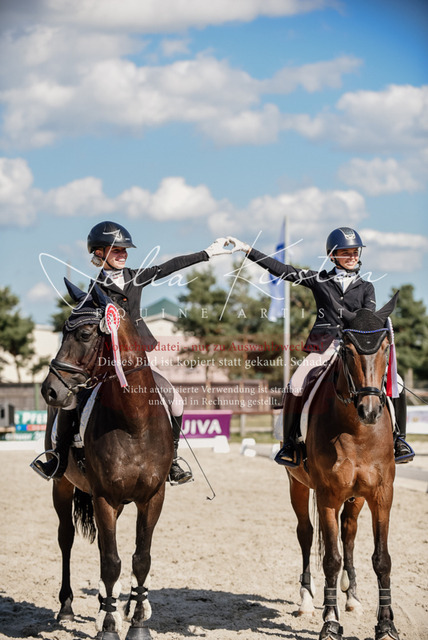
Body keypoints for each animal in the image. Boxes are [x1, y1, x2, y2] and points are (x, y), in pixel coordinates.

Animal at [34, 279, 174, 640]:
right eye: (61, 332)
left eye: (84, 335)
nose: (49, 391)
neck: (133, 422)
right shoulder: (103, 498)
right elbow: (110, 562)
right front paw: (109, 627)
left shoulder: (153, 497)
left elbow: (141, 558)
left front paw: (138, 623)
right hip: (62, 485)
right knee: (66, 538)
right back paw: (68, 607)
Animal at [284, 293, 401, 640]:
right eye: (347, 350)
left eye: (385, 347)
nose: (370, 410)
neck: (357, 431)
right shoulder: (326, 495)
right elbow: (330, 560)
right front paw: (330, 622)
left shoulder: (381, 494)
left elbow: (381, 559)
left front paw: (385, 624)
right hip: (298, 485)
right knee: (306, 534)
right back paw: (308, 601)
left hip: (356, 496)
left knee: (348, 533)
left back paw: (352, 597)